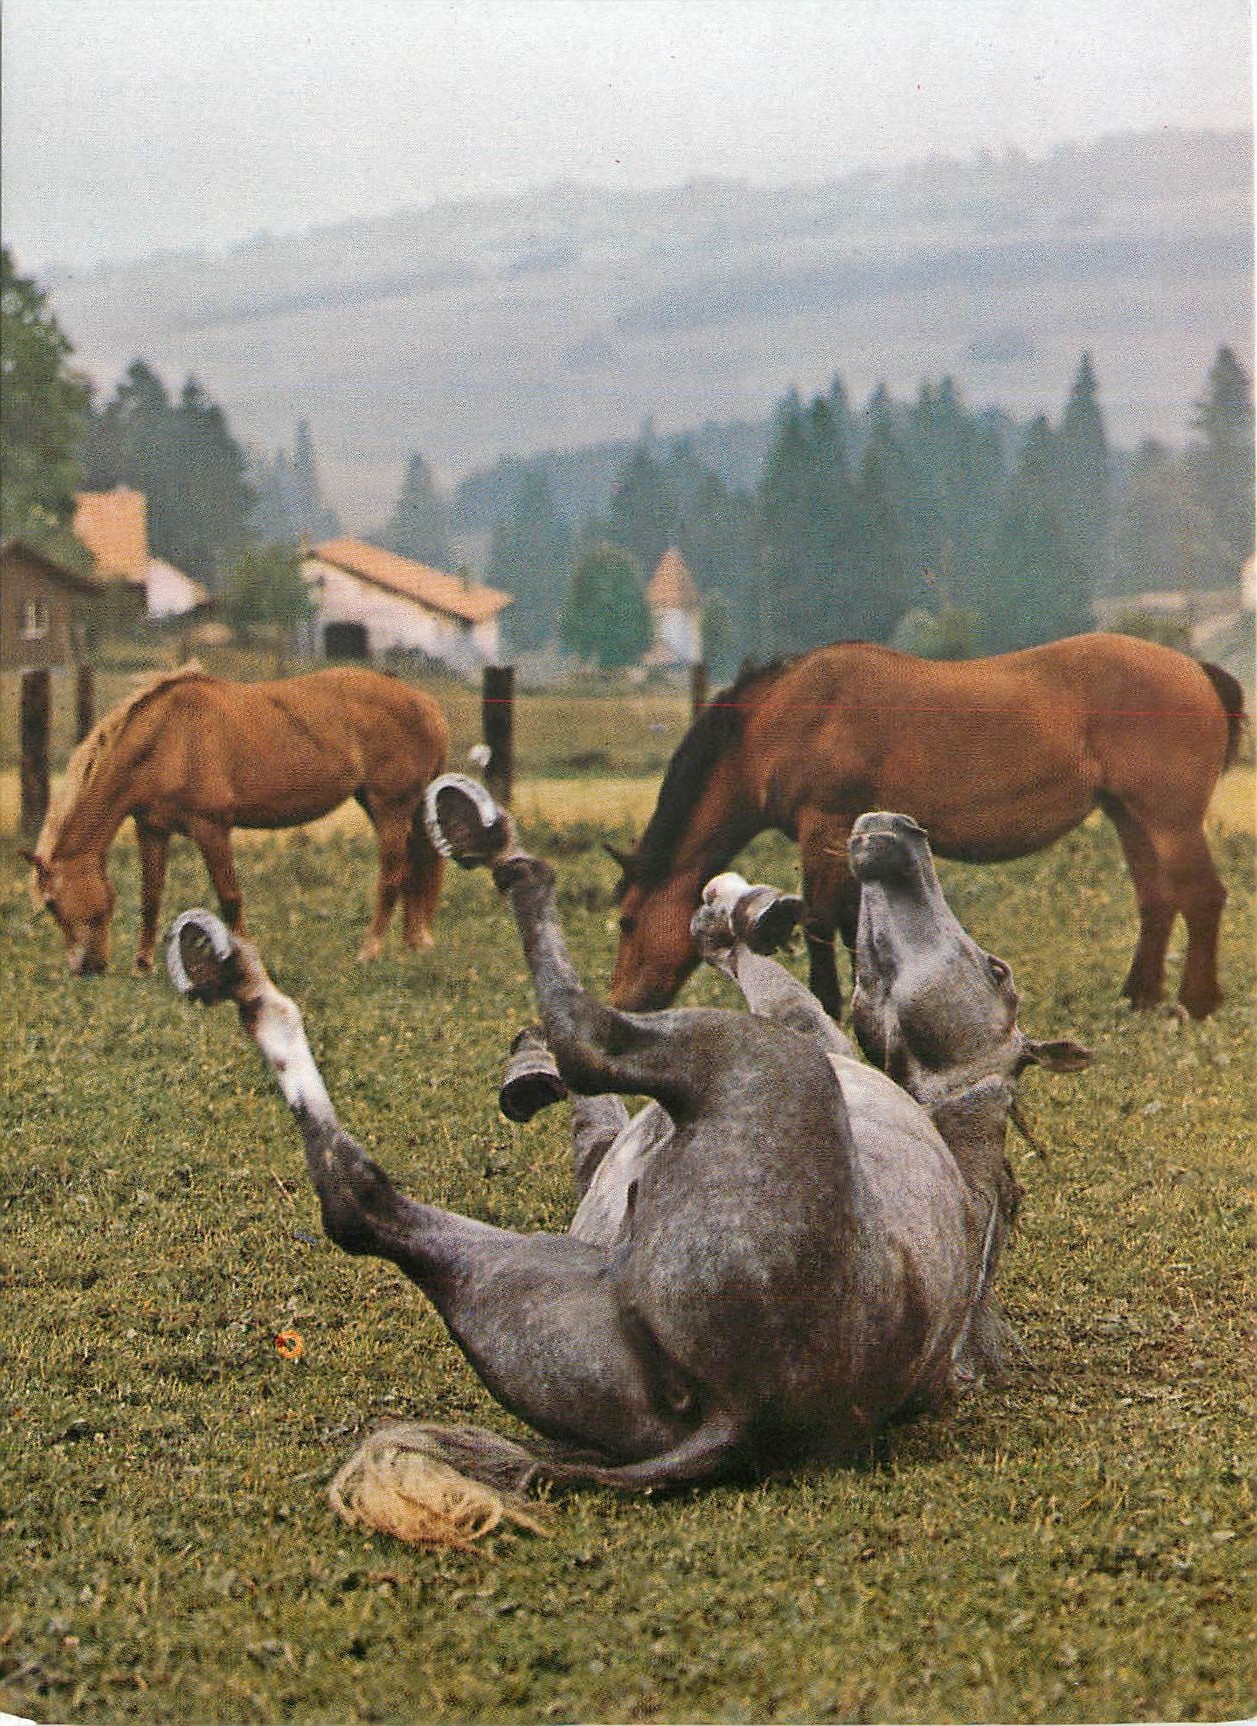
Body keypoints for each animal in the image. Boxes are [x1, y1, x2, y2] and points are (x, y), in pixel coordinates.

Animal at [25, 664, 449, 975]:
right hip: (387, 807)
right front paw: (142, 966)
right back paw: (413, 944)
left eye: (51, 903)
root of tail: (425, 703)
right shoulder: (152, 829)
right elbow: (150, 896)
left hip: (390, 807)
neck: (168, 738)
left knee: (392, 876)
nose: (86, 968)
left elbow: (229, 897)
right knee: (415, 869)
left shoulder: (211, 828)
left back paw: (370, 951)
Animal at [165, 777, 1090, 1501]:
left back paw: (475, 843)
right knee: (360, 1204)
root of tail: (736, 1420)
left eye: (994, 970)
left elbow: (736, 993)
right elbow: (598, 1107)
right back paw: (230, 966)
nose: (894, 830)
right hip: (520, 1285)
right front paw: (730, 909)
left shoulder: (797, 1031)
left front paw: (730, 909)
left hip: (738, 1057)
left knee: (576, 1040)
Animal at [609, 634, 1246, 1021]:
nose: (621, 1003)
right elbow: (850, 924)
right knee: (1157, 900)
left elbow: (820, 922)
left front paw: (829, 1006)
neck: (784, 719)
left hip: (1171, 821)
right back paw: (1140, 997)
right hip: (1131, 817)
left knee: (1202, 897)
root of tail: (1196, 669)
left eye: (627, 920)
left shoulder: (824, 829)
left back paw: (1197, 1002)